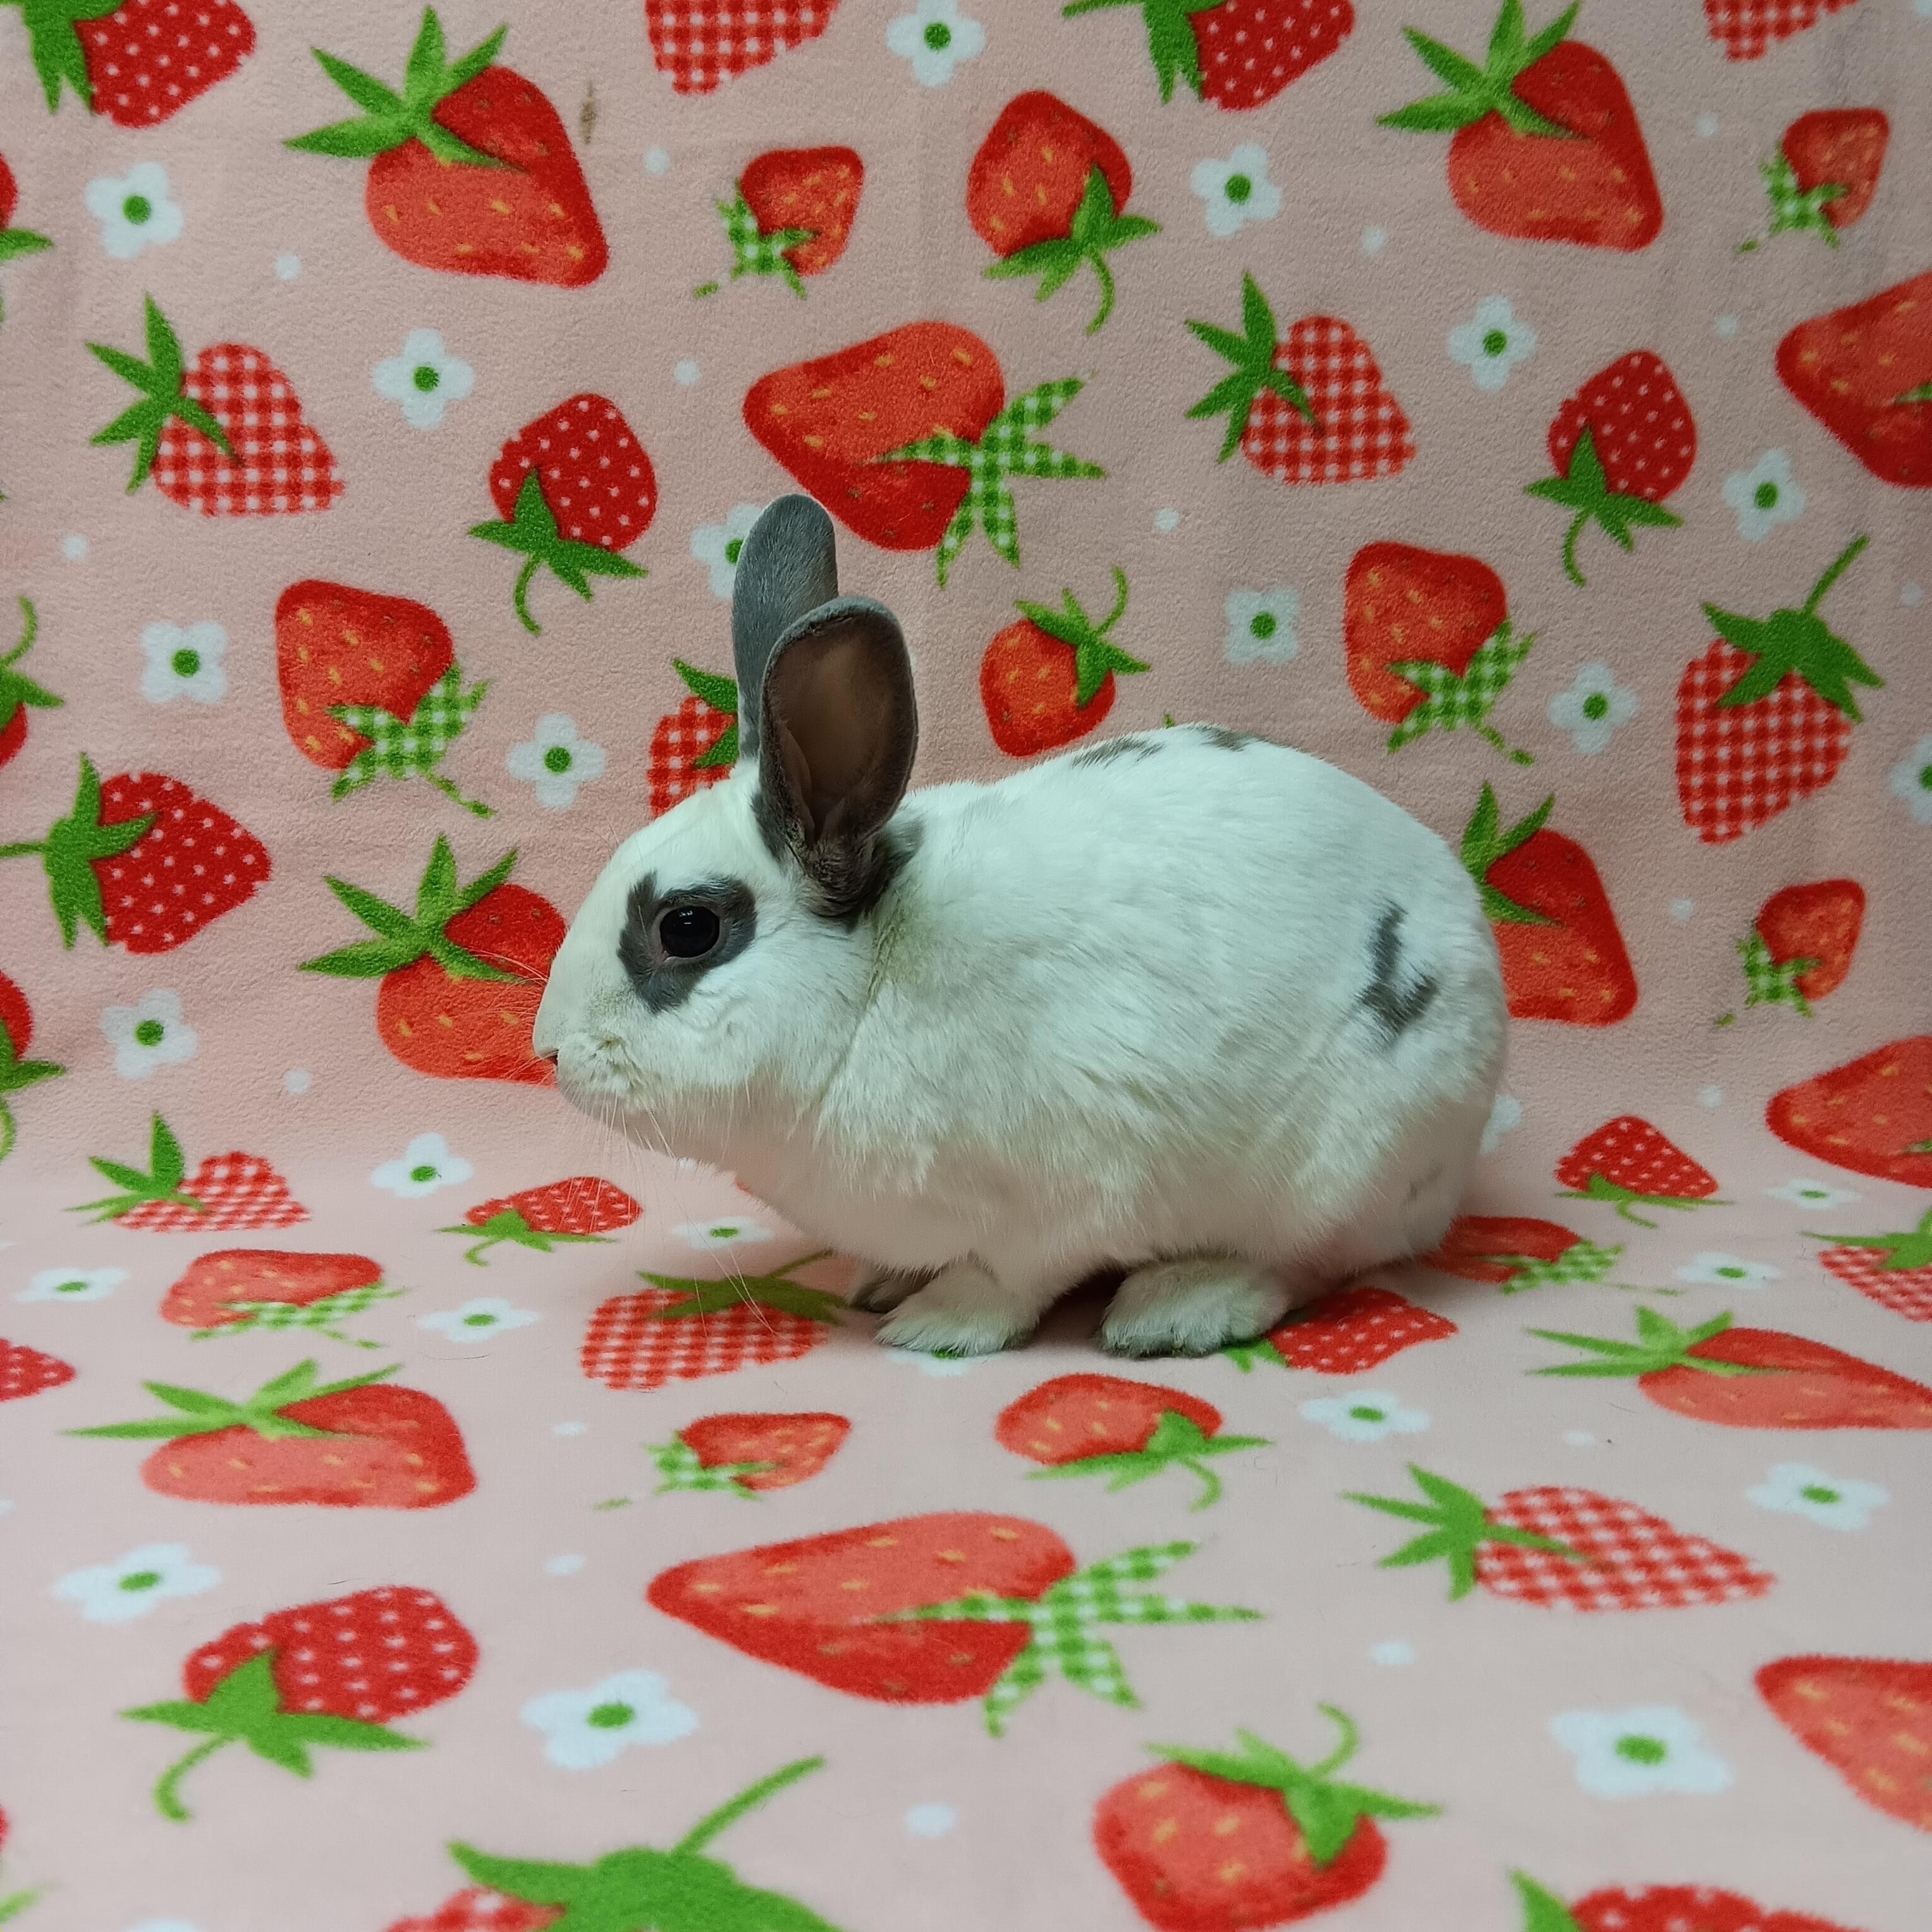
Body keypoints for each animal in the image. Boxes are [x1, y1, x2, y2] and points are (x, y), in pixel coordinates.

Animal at [532, 494, 1508, 1357]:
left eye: (688, 928)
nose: (547, 1050)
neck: (869, 991)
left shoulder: (1056, 1201)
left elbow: (1006, 1281)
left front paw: (935, 1325)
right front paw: (882, 1283)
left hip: (1338, 1169)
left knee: (1306, 1263)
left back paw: (1176, 1309)